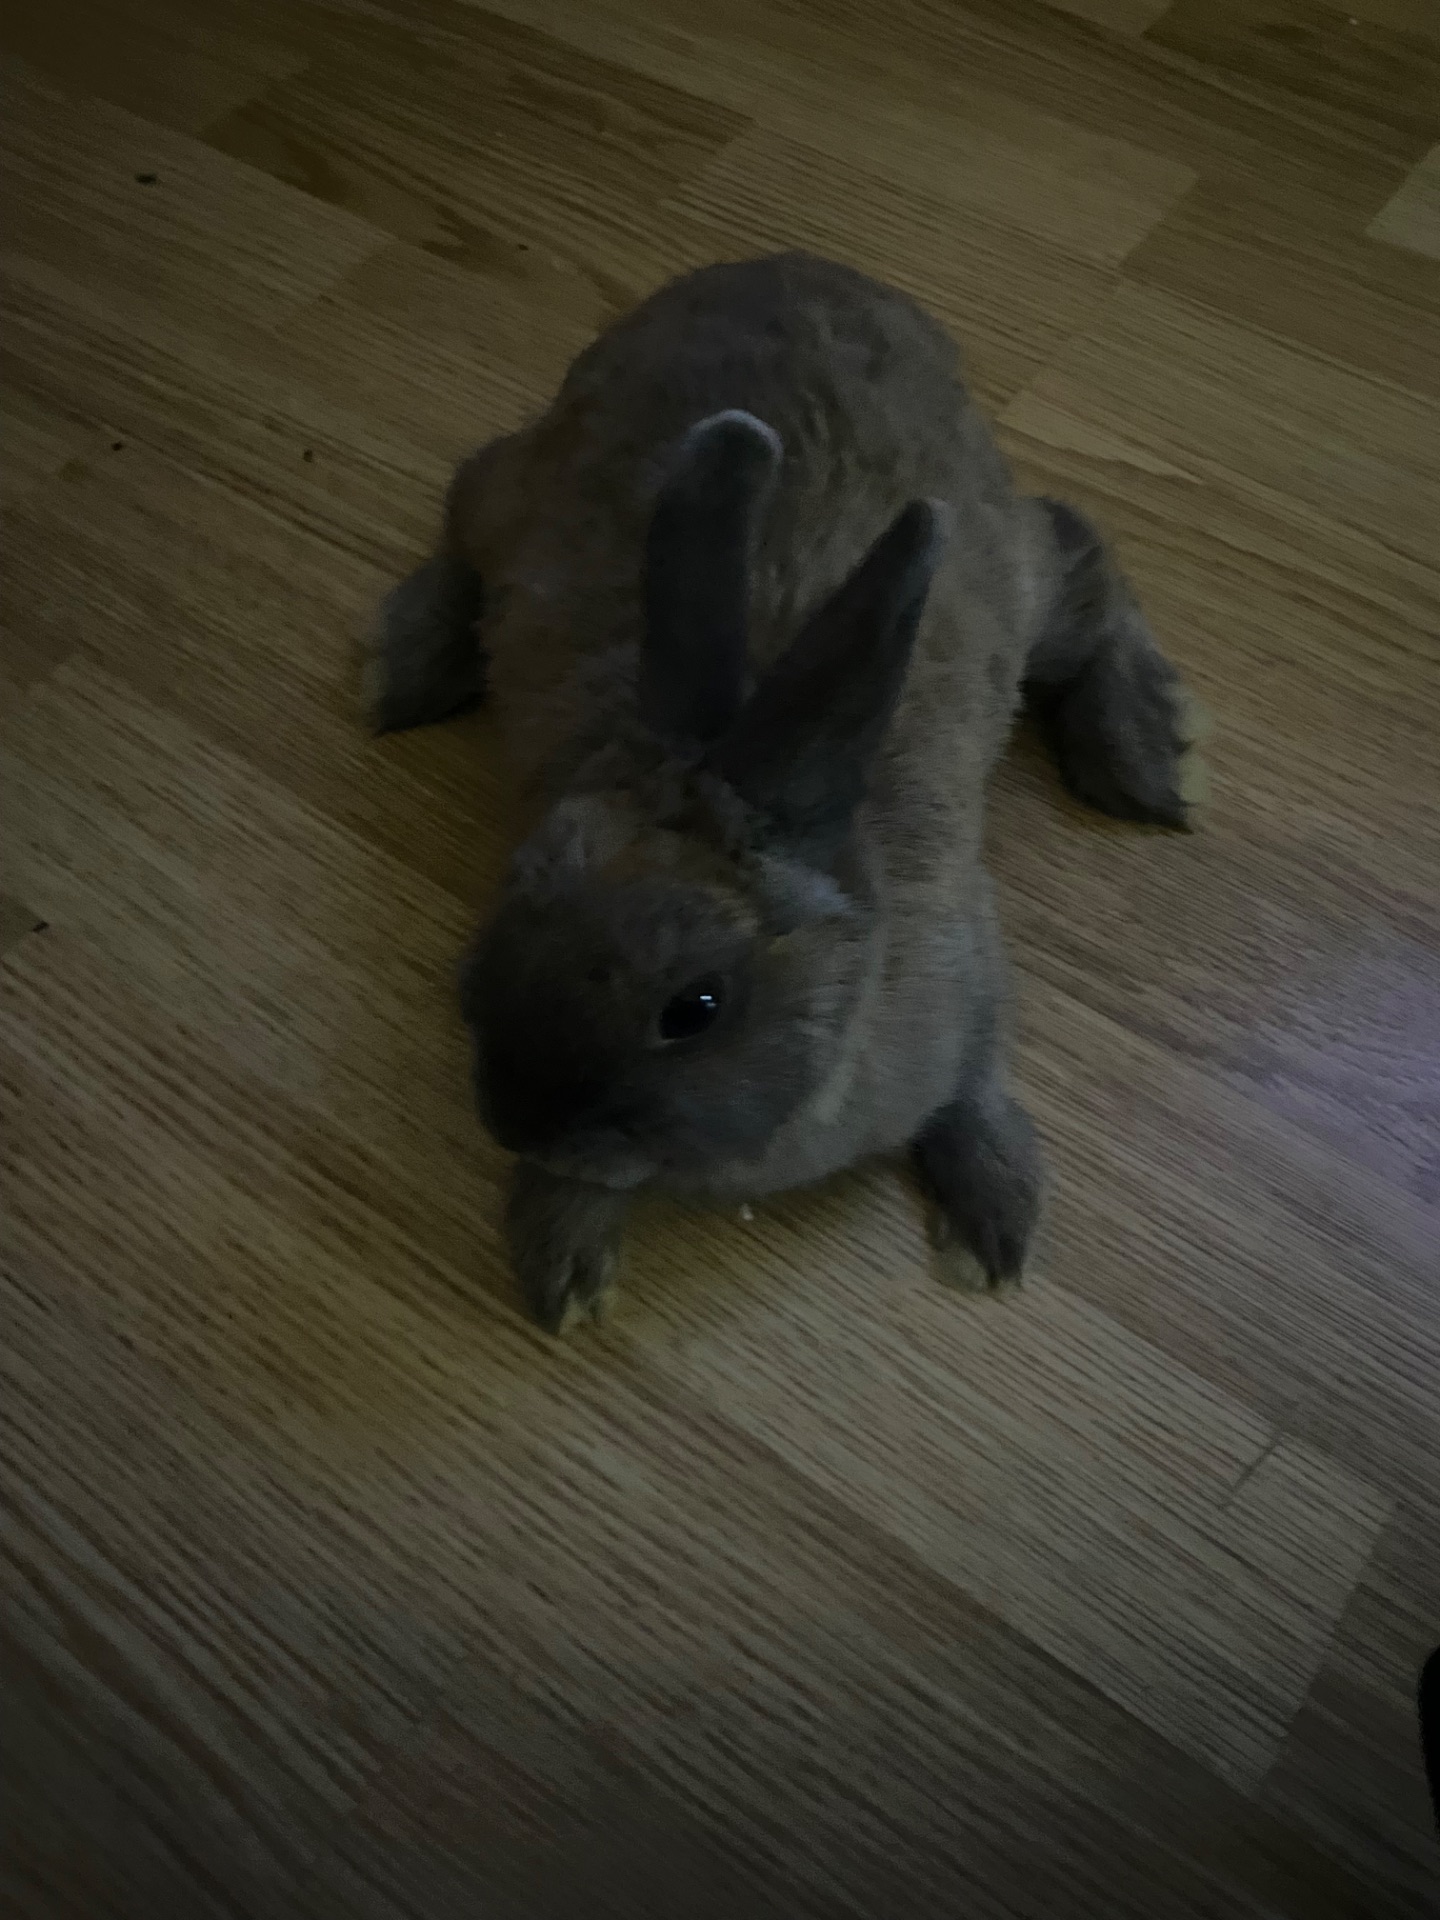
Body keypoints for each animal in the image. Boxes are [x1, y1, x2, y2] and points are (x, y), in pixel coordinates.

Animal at [363, 253, 1205, 1333]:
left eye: (696, 1007)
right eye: (510, 905)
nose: (519, 1124)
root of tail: (792, 267)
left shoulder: (971, 973)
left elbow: (979, 1087)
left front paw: (995, 1229)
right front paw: (564, 1271)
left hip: (1029, 597)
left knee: (1078, 552)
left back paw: (1147, 763)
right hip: (514, 498)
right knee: (465, 513)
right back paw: (405, 670)